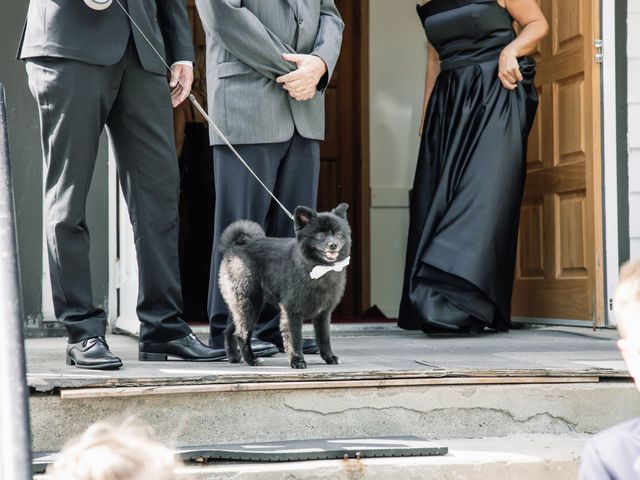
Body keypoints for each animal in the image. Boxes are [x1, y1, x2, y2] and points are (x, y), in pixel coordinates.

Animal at [219, 204, 350, 370]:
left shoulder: (324, 313)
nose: (333, 245)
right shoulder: (292, 311)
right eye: (320, 235)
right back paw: (252, 360)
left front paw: (329, 357)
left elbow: (324, 337)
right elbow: (295, 338)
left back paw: (234, 357)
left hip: (238, 305)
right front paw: (297, 360)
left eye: (339, 234)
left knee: (229, 330)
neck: (318, 269)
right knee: (241, 334)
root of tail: (234, 248)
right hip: (250, 304)